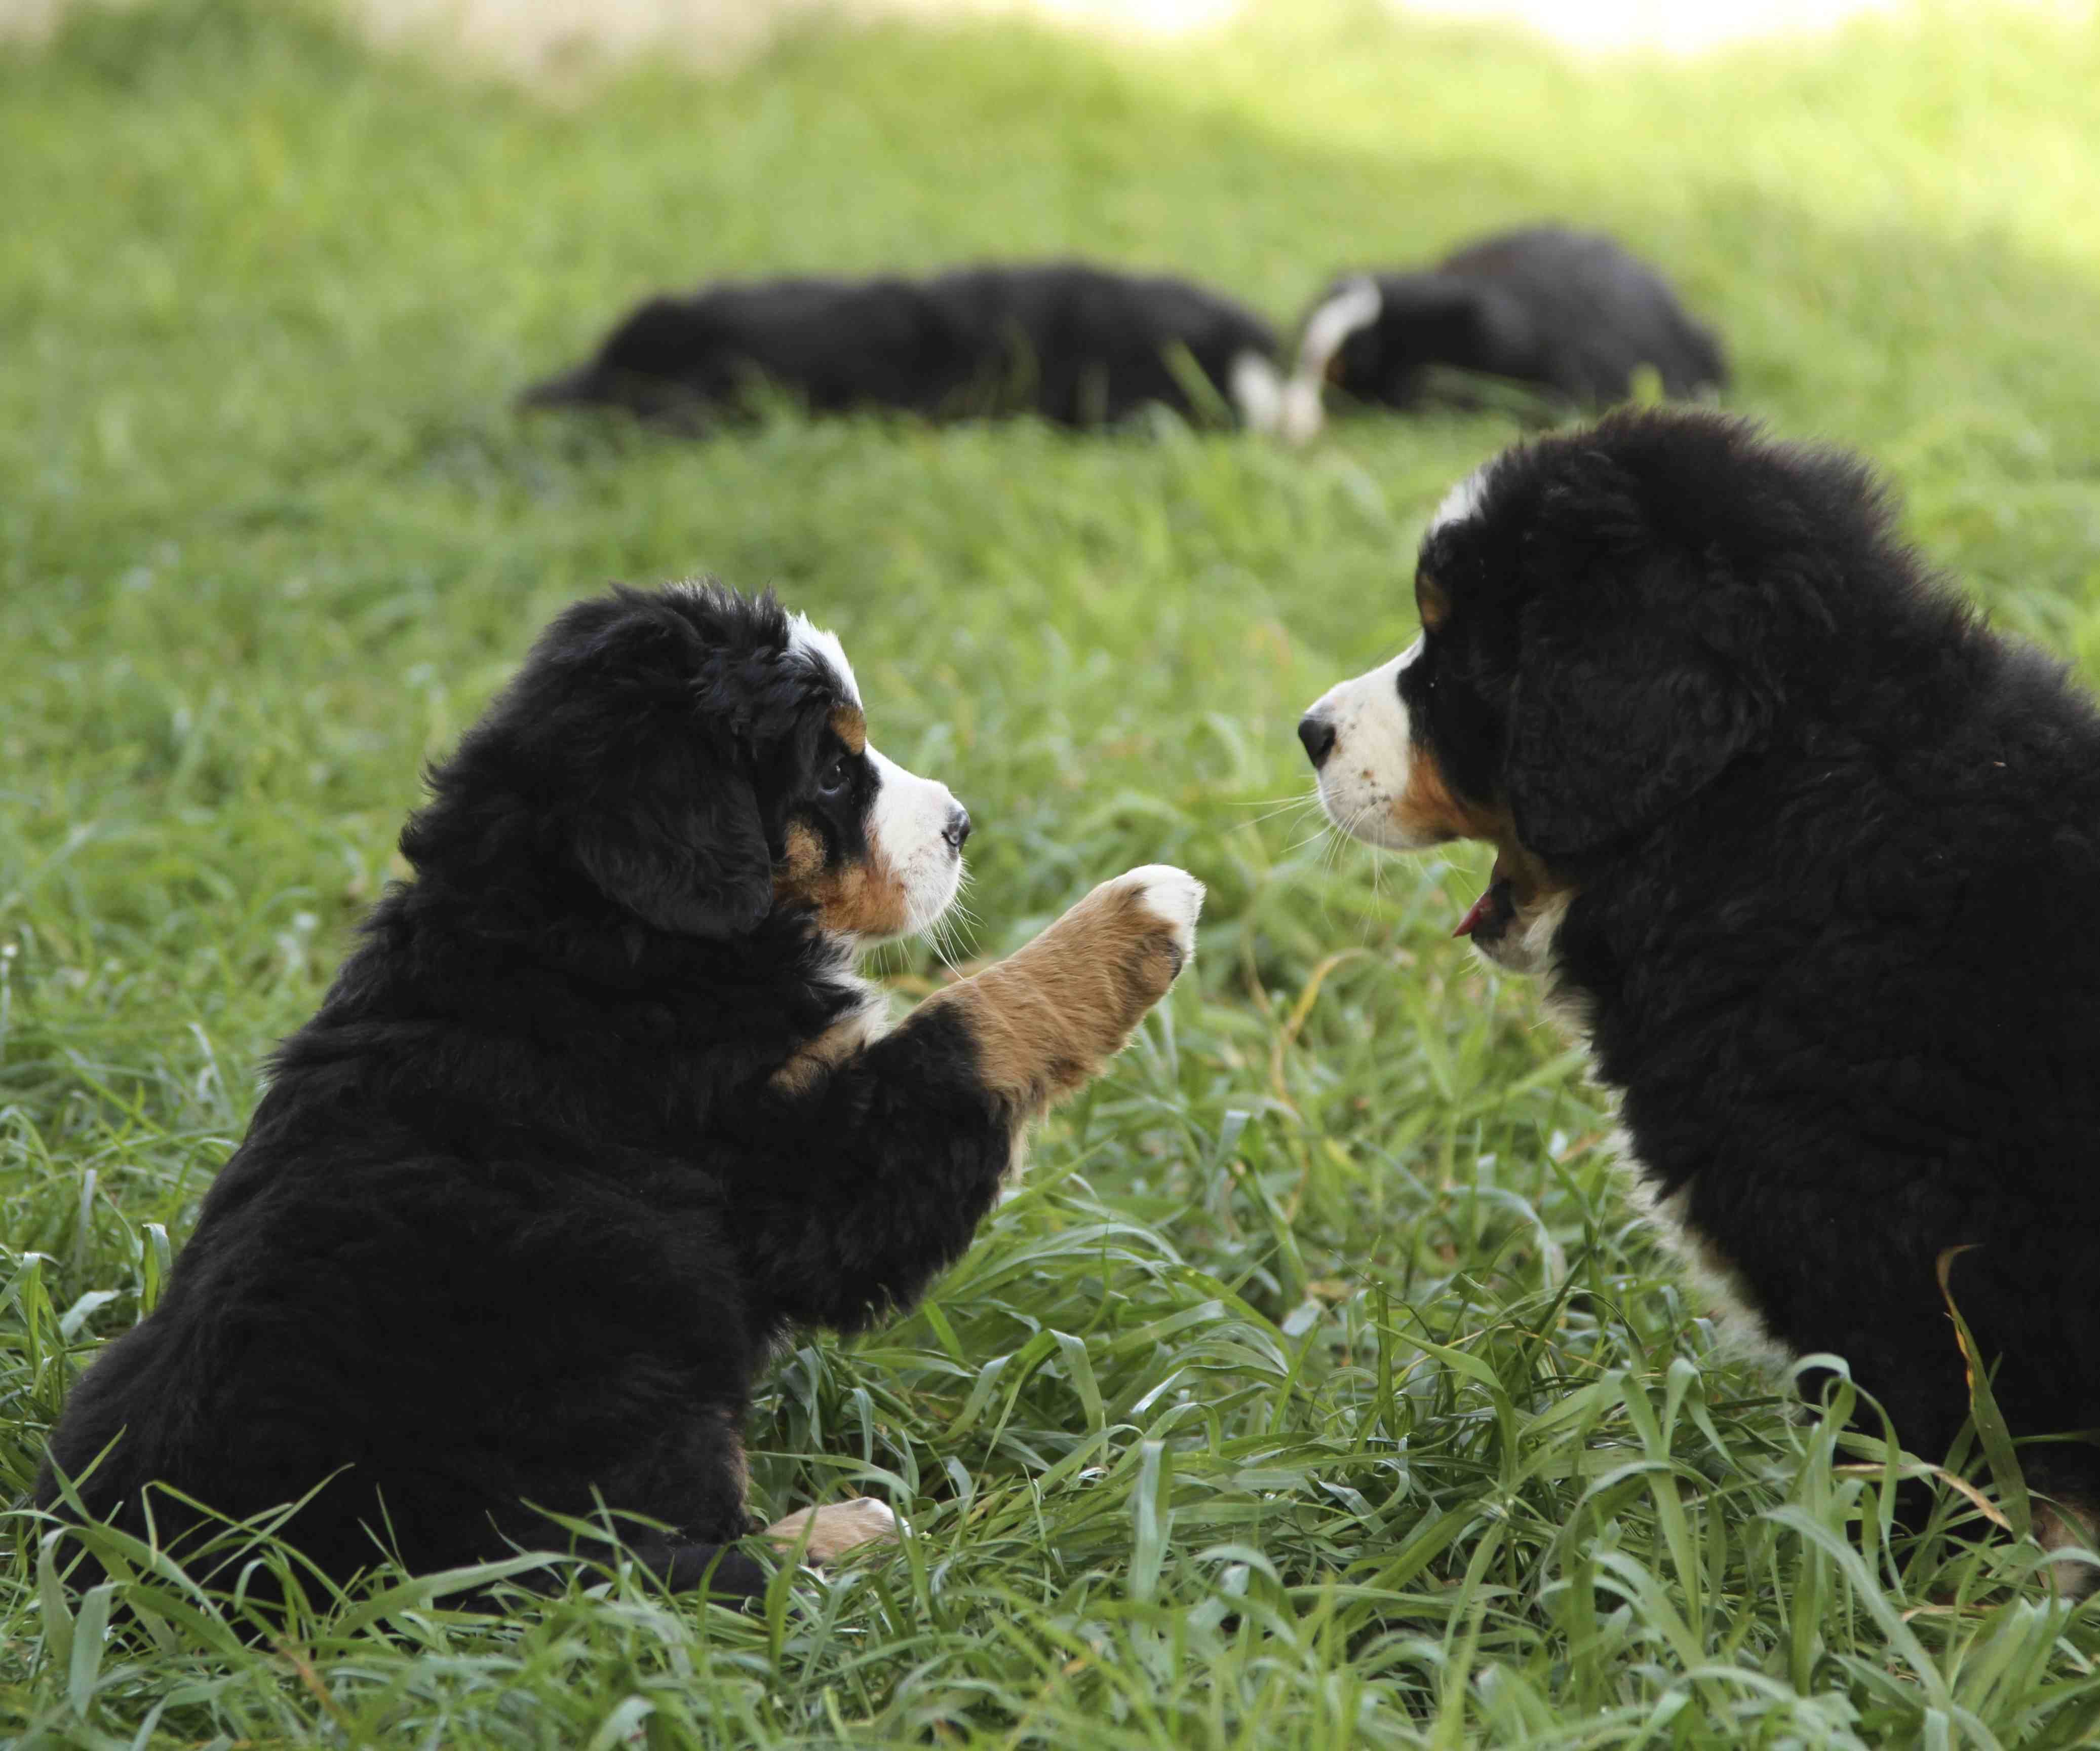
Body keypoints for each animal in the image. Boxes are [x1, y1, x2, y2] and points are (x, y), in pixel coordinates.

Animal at [41, 583, 1210, 1595]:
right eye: (833, 774)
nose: (962, 825)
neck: (594, 935)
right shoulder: (799, 1165)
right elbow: (967, 1024)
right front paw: (1137, 913)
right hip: (614, 1339)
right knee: (642, 1567)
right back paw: (849, 1532)